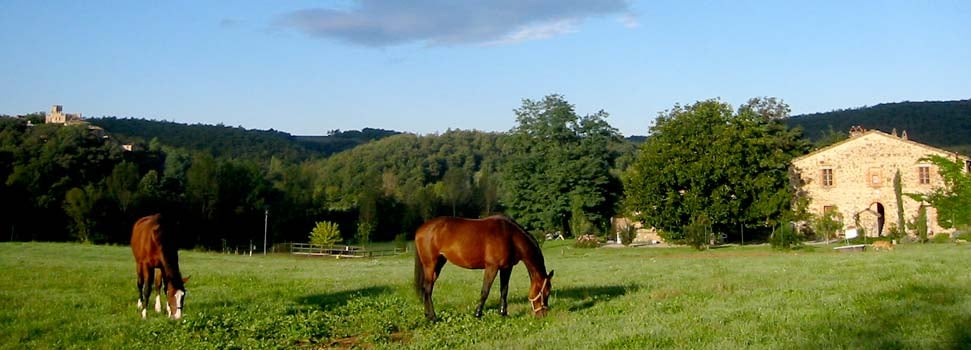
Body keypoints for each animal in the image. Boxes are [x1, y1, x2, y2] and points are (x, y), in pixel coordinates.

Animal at [416, 216, 560, 322]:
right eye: (546, 292)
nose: (542, 314)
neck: (510, 236)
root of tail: (420, 230)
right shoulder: (492, 267)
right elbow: (485, 291)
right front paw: (477, 314)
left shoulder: (506, 268)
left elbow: (504, 291)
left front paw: (503, 313)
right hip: (430, 265)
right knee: (427, 289)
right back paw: (433, 317)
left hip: (438, 264)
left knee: (426, 289)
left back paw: (427, 315)